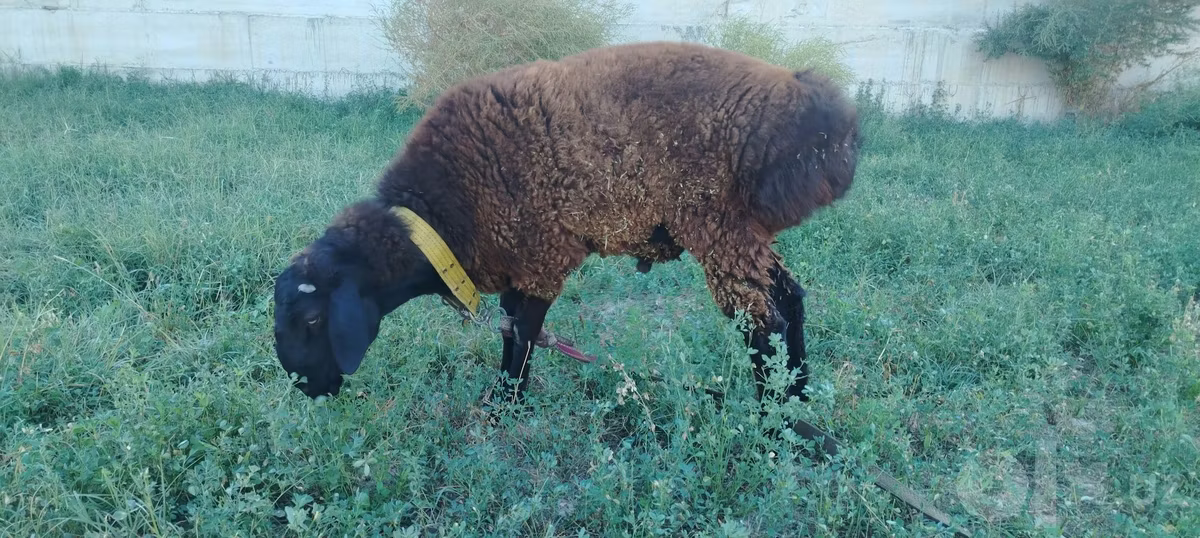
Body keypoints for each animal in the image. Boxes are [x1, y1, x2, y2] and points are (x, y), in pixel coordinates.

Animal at [272, 40, 861, 410]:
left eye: (314, 320)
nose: (305, 388)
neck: (440, 221)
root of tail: (819, 113)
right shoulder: (514, 259)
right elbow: (511, 330)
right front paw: (502, 397)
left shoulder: (540, 256)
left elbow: (525, 336)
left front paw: (507, 406)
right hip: (744, 235)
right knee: (791, 300)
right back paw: (798, 402)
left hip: (718, 226)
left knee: (764, 324)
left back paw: (771, 421)